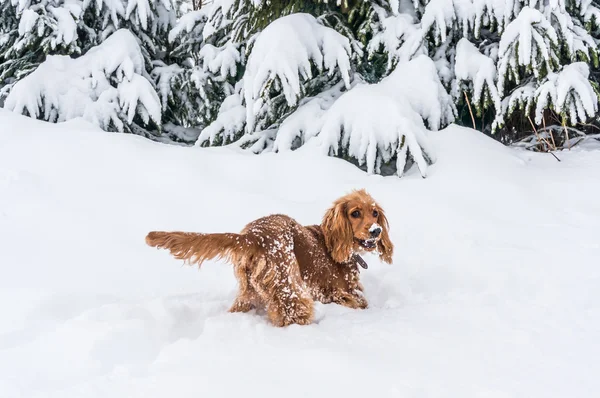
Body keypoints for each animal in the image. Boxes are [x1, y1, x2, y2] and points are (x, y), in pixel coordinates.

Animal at [145, 190, 394, 326]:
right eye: (355, 213)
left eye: (375, 213)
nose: (376, 231)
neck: (331, 242)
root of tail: (252, 235)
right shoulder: (337, 293)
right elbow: (360, 302)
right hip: (288, 286)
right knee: (294, 314)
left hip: (249, 292)